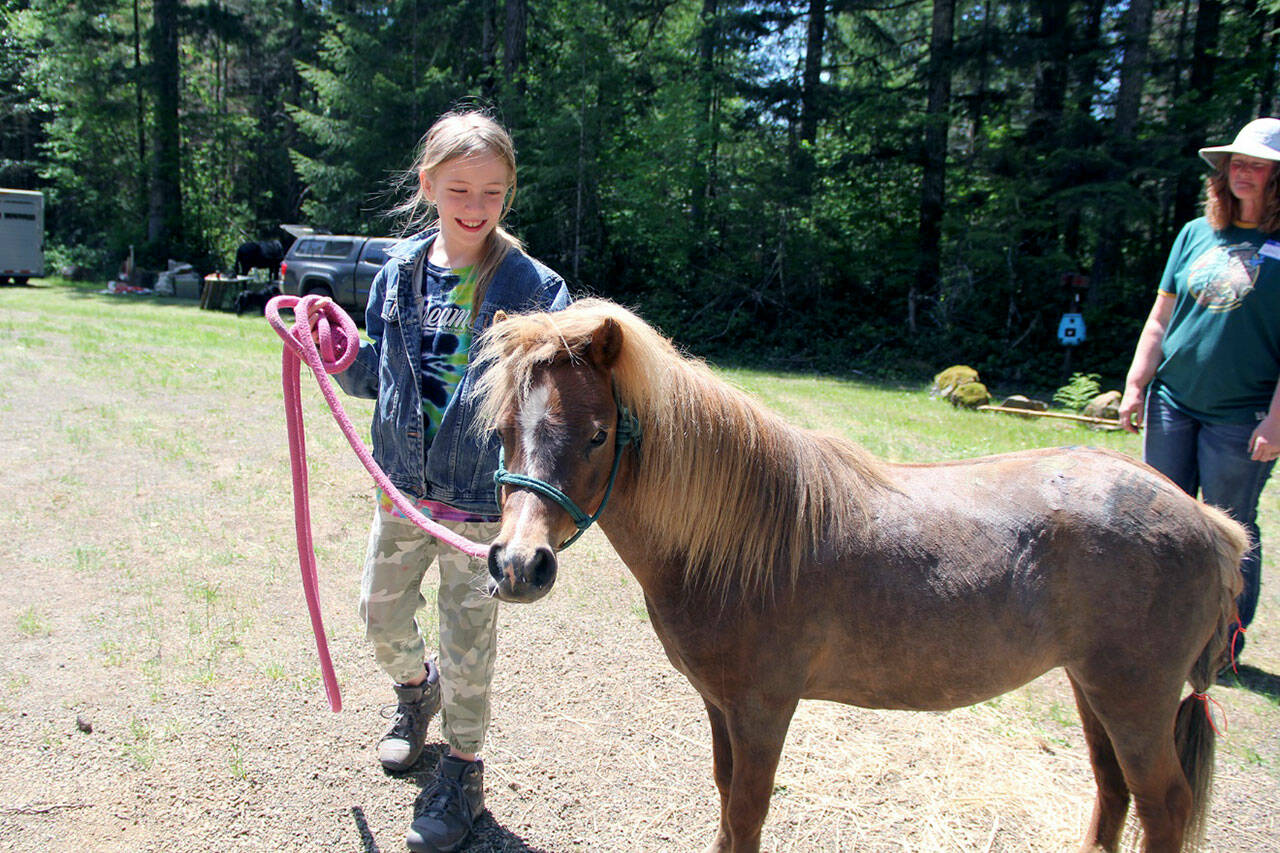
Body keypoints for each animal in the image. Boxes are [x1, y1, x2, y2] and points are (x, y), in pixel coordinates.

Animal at [471, 298, 1247, 853]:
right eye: (503, 429)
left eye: (599, 433)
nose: (519, 565)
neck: (743, 540)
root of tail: (1209, 522)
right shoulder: (722, 708)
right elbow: (725, 803)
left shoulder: (762, 710)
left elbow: (746, 816)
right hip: (1094, 690)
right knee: (1113, 791)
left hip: (1135, 700)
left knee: (1163, 805)